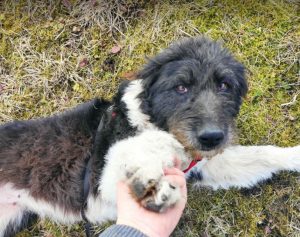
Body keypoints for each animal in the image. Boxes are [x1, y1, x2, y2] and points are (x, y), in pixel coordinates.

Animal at [0, 37, 300, 237]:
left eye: (225, 85)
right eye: (181, 87)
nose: (212, 138)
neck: (149, 119)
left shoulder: (206, 165)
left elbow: (261, 154)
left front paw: (294, 155)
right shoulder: (100, 184)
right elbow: (138, 149)